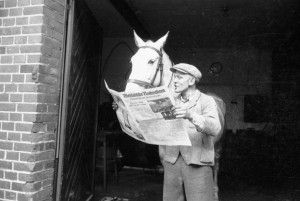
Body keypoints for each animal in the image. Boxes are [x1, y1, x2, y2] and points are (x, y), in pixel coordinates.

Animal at [124, 30, 225, 200]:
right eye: (131, 62)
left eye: (151, 61)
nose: (128, 95)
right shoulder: (166, 160)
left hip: (217, 146)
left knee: (216, 165)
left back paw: (215, 191)